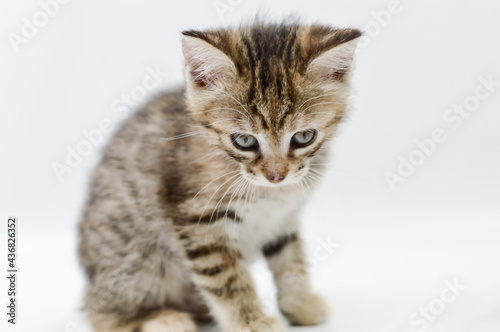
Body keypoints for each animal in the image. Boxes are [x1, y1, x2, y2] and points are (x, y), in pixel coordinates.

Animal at [79, 21, 360, 332]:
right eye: (244, 141)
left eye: (303, 137)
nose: (276, 176)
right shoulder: (199, 221)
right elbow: (228, 280)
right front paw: (253, 322)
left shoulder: (284, 218)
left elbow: (291, 258)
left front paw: (300, 302)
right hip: (134, 259)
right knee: (101, 314)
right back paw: (162, 319)